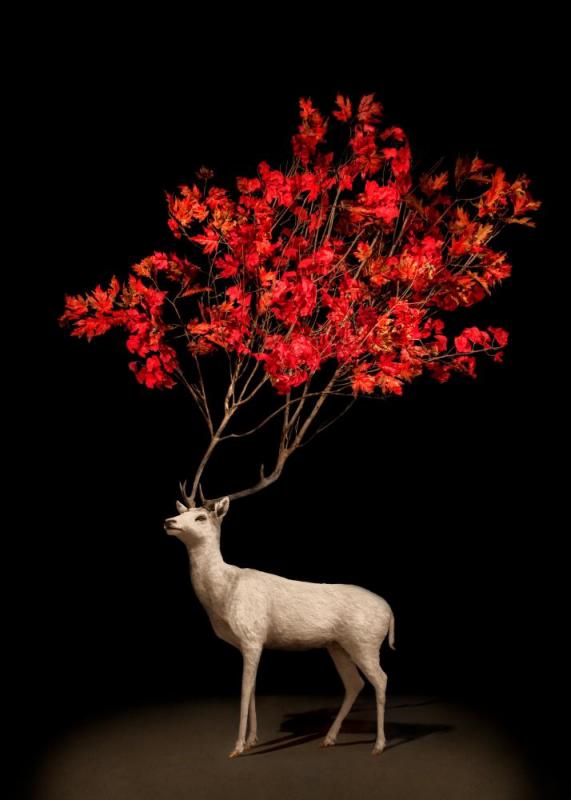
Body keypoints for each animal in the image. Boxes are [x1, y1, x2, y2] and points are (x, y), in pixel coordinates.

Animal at [164, 477, 396, 758]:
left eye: (200, 517)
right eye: (181, 512)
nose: (169, 522)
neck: (225, 593)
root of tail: (390, 612)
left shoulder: (252, 638)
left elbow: (244, 689)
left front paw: (237, 747)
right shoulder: (248, 645)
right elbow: (253, 688)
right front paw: (252, 740)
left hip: (365, 644)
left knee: (381, 680)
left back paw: (378, 745)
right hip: (338, 646)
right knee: (355, 684)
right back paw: (328, 738)